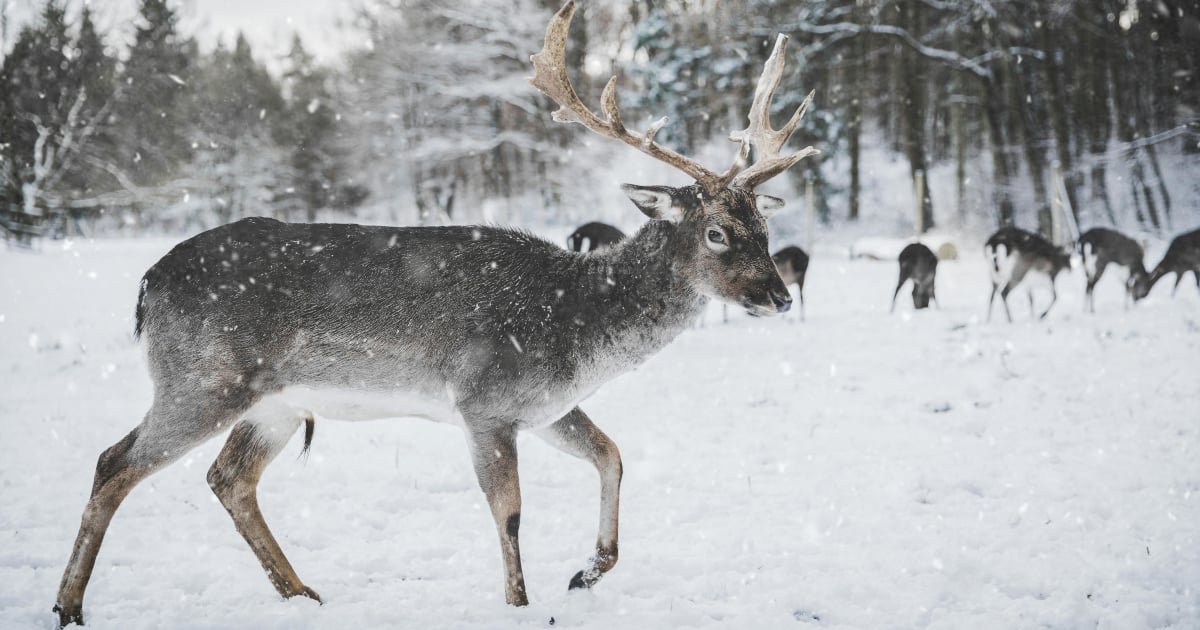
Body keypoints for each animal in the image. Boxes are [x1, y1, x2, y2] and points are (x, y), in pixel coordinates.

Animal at [51, 3, 820, 624]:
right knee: (114, 461)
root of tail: (148, 284)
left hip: (273, 402)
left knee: (228, 478)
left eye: (763, 224)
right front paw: (520, 604)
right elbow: (510, 513)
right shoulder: (485, 399)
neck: (577, 328)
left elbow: (612, 454)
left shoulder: (544, 406)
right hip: (202, 377)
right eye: (717, 232)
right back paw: (70, 606)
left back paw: (302, 594)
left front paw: (586, 572)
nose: (779, 296)